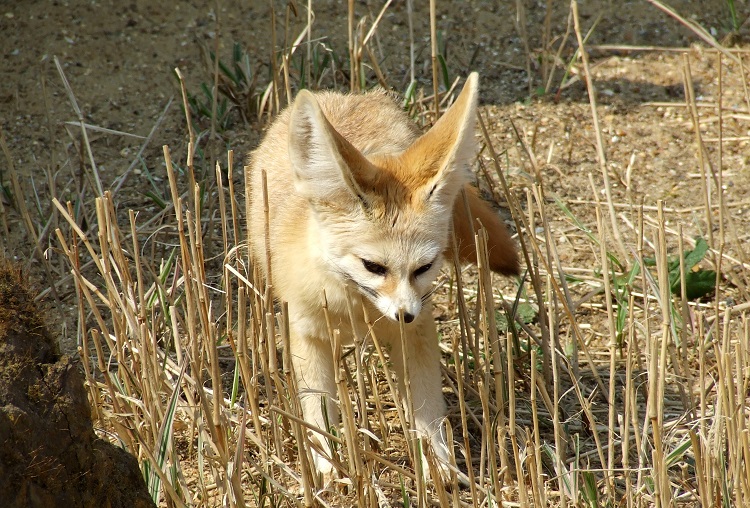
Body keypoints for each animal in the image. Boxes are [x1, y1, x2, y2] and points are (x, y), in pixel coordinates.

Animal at [250, 73, 520, 482]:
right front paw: (328, 470)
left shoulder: (417, 332)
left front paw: (439, 467)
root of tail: (345, 95)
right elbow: (318, 414)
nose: (404, 314)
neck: (357, 309)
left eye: (424, 267)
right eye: (372, 266)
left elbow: (428, 411)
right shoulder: (307, 332)